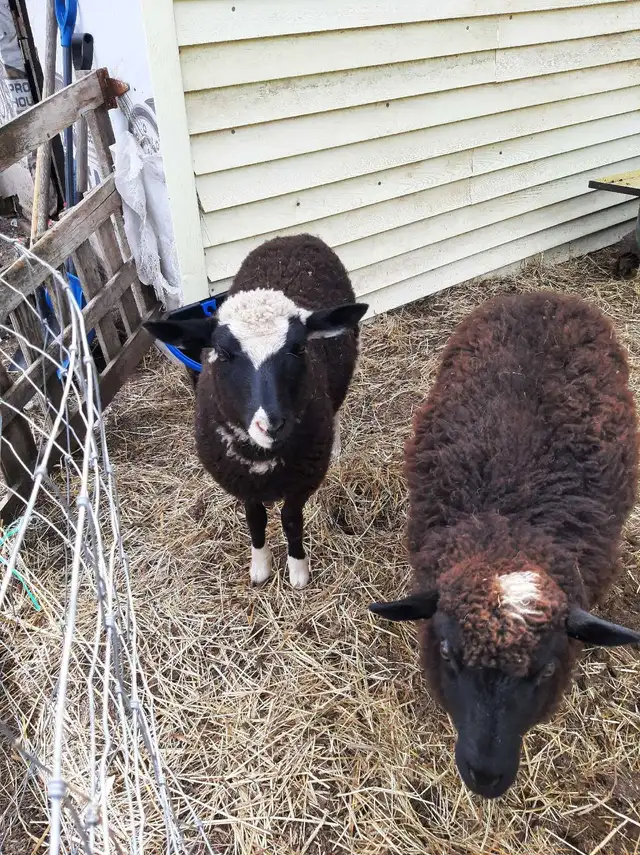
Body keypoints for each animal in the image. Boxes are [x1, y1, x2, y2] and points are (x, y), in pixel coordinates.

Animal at [144, 234, 367, 588]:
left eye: (299, 347)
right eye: (222, 353)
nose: (271, 424)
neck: (263, 460)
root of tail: (294, 236)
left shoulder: (302, 481)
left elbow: (290, 520)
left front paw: (298, 570)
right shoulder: (241, 481)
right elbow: (255, 519)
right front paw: (260, 567)